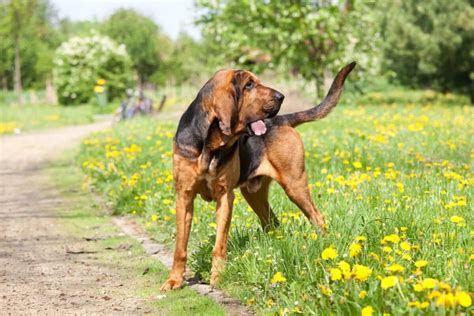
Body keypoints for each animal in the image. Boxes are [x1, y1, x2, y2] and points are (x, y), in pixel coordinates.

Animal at [160, 61, 356, 292]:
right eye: (249, 85)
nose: (281, 96)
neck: (210, 144)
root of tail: (282, 119)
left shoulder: (225, 196)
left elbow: (219, 244)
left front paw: (217, 277)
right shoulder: (184, 196)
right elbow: (180, 247)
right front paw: (174, 280)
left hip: (294, 185)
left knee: (317, 217)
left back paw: (327, 247)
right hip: (253, 194)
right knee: (273, 222)